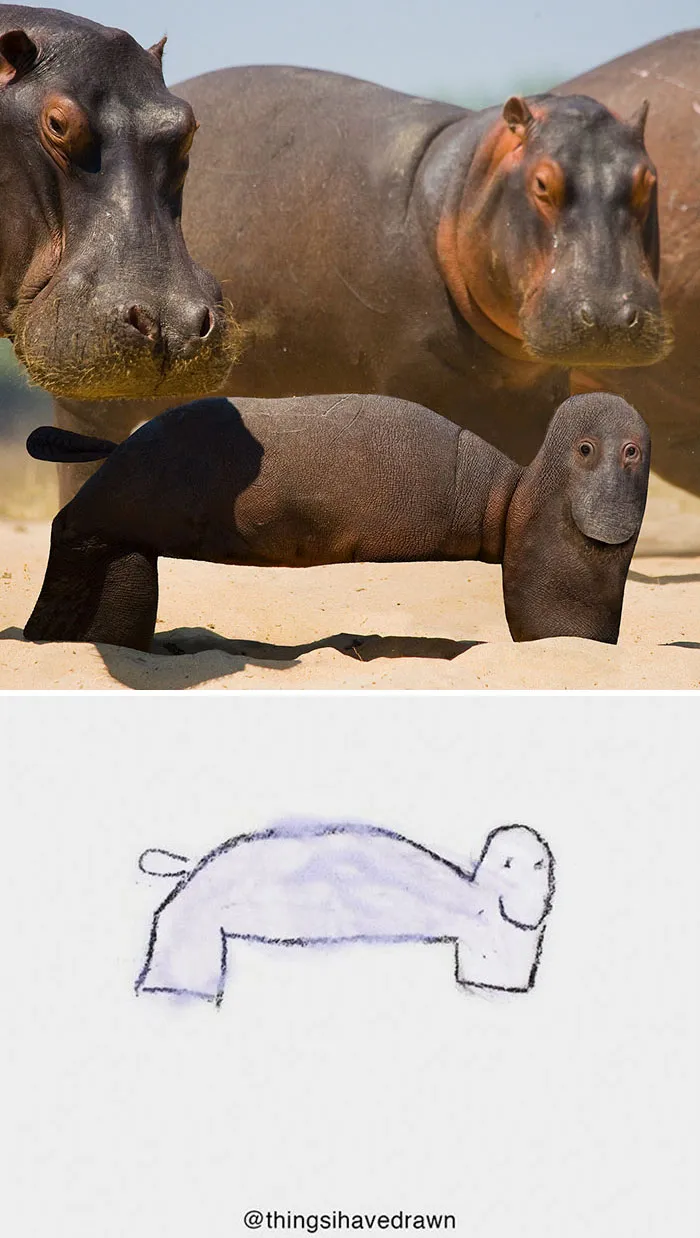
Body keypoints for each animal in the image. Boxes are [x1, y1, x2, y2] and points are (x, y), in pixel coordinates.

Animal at [24, 390, 650, 651]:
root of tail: (117, 451)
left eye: (632, 453)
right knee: (73, 532)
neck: (516, 495)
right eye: (587, 449)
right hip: (111, 510)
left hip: (117, 531)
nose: (613, 515)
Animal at [50, 55, 668, 500]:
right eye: (542, 183)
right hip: (93, 388)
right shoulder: (416, 382)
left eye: (648, 179)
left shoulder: (535, 396)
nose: (610, 315)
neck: (460, 189)